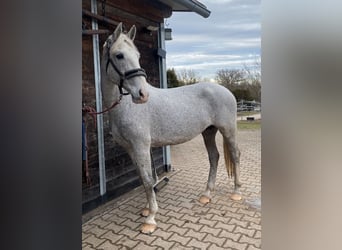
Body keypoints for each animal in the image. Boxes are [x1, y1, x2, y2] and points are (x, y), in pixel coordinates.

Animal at [100, 22, 242, 233]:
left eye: (137, 55)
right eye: (119, 55)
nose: (142, 94)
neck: (126, 107)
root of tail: (226, 90)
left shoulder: (141, 145)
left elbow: (148, 179)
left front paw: (150, 219)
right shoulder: (131, 148)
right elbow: (142, 178)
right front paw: (146, 208)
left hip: (228, 130)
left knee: (235, 155)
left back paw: (236, 192)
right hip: (208, 132)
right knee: (214, 157)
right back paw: (206, 194)